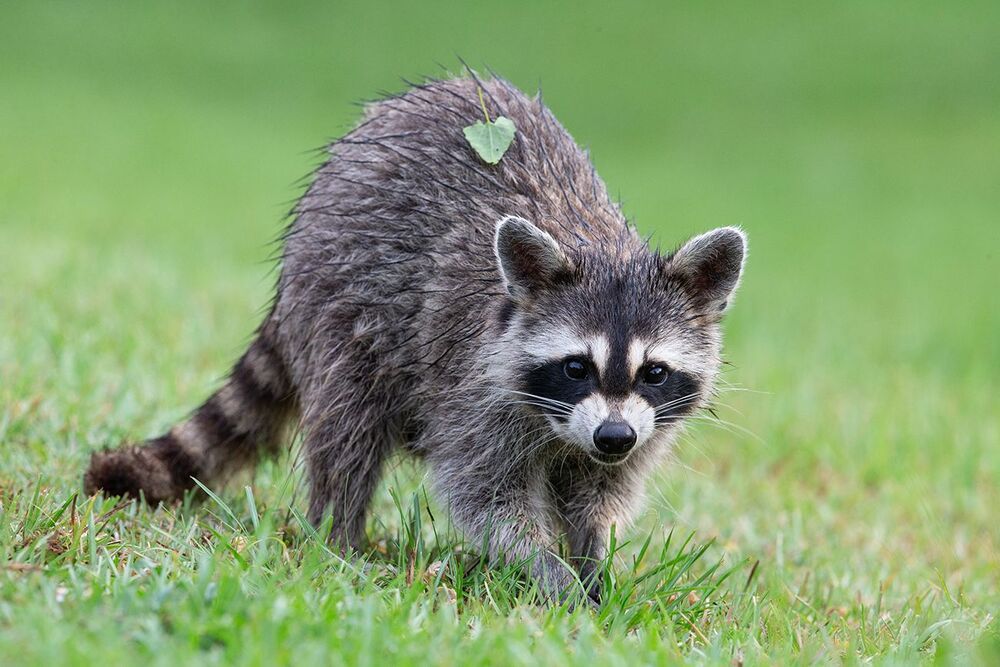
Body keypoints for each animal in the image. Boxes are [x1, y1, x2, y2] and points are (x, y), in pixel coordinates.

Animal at [84, 75, 746, 603]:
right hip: (340, 302)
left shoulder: (641, 428)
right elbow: (485, 498)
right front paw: (545, 567)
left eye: (653, 371)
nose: (613, 437)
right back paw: (337, 538)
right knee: (347, 427)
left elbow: (601, 497)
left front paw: (594, 561)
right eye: (576, 366)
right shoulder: (476, 394)